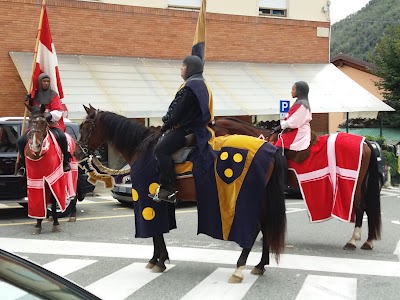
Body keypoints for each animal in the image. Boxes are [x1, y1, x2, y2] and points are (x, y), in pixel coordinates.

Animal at [74, 105, 288, 284]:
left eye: (85, 126)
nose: (76, 153)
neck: (141, 149)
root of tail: (269, 148)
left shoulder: (147, 199)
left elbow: (156, 231)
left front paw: (159, 261)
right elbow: (158, 231)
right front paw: (156, 259)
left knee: (255, 229)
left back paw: (239, 268)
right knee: (265, 226)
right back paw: (260, 265)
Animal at [211, 116, 382, 251]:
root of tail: (365, 142)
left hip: (354, 185)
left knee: (359, 208)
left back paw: (353, 241)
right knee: (366, 208)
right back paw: (368, 241)